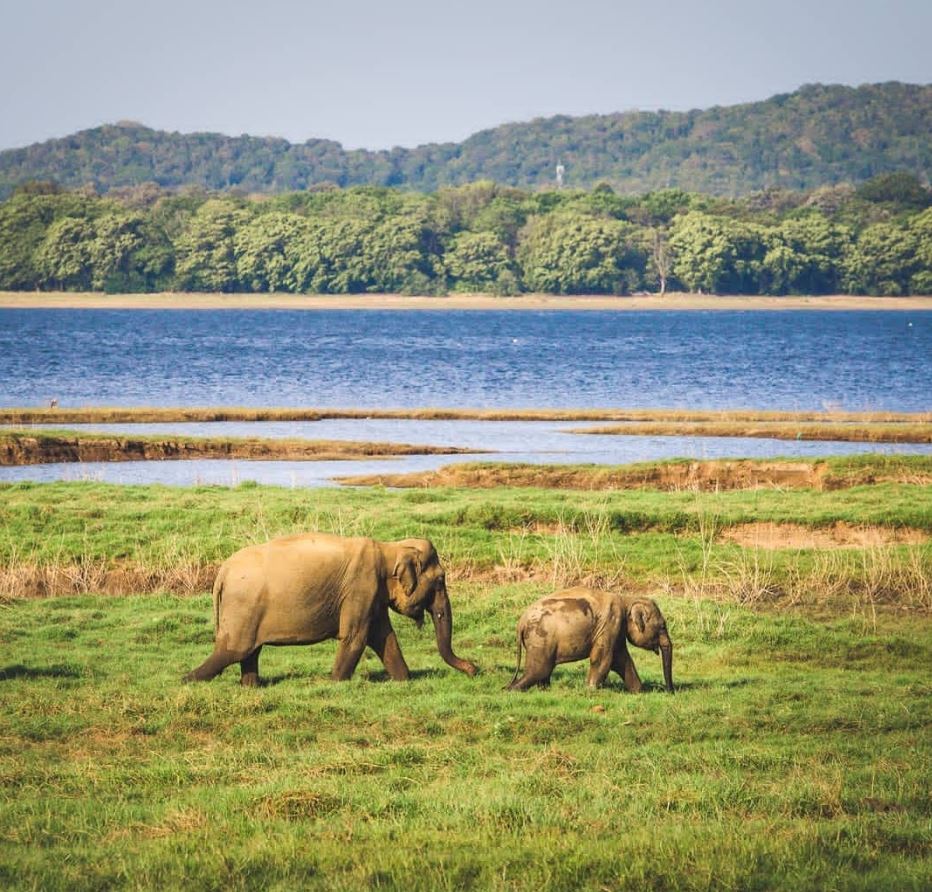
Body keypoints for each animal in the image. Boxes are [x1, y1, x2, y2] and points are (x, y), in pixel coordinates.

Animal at [183, 532, 476, 688]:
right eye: (441, 580)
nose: (474, 668)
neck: (388, 548)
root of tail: (222, 572)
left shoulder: (373, 595)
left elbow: (384, 637)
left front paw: (404, 681)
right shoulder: (362, 585)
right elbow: (355, 637)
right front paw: (335, 683)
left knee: (249, 652)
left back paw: (251, 686)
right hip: (242, 608)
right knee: (233, 651)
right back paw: (187, 680)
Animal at [506, 588, 672, 692]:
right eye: (663, 626)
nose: (669, 691)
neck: (626, 600)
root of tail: (520, 623)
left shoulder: (616, 630)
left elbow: (621, 659)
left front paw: (638, 691)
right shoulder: (611, 622)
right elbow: (602, 658)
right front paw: (591, 689)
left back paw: (542, 689)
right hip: (540, 640)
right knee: (539, 670)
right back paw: (511, 689)